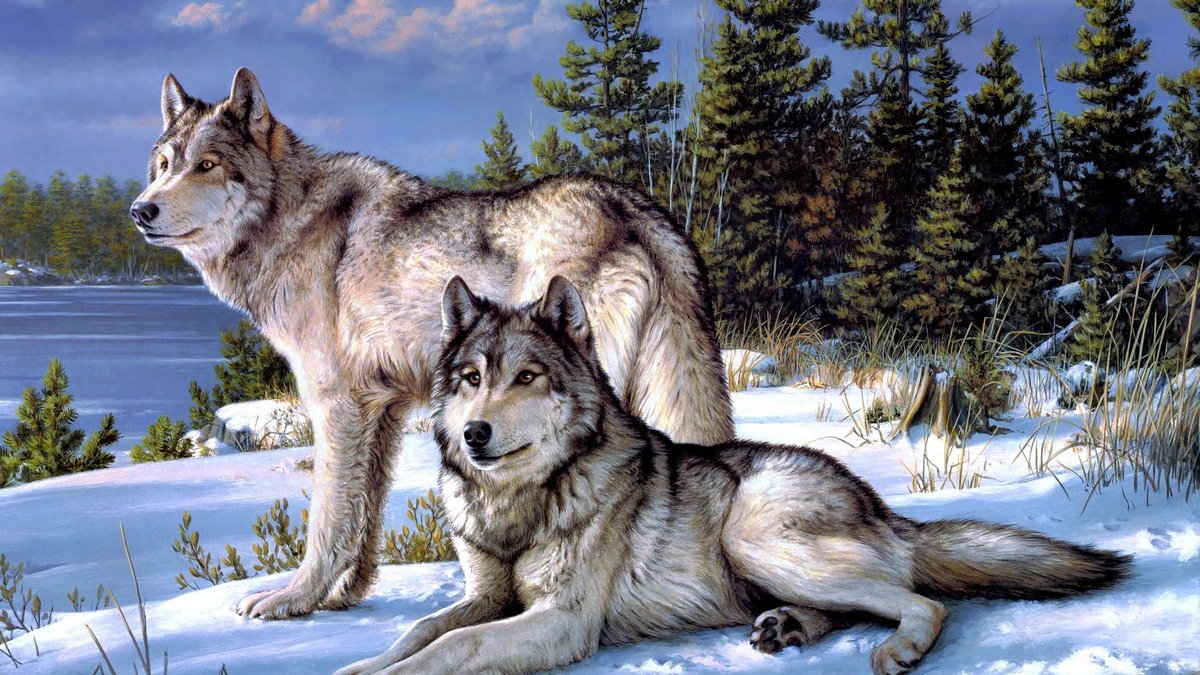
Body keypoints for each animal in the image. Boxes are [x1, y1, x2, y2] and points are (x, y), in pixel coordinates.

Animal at [129, 68, 734, 620]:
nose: (141, 210)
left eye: (207, 166)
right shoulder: (382, 409)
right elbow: (364, 516)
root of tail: (638, 208)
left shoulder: (335, 406)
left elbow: (327, 519)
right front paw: (344, 596)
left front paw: (293, 600)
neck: (289, 220)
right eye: (164, 166)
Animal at [337, 275, 1132, 675]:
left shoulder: (561, 621)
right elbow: (419, 632)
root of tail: (877, 503)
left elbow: (451, 647)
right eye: (471, 379)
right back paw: (786, 627)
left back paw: (896, 648)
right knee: (864, 602)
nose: (474, 434)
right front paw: (357, 666)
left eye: (526, 377)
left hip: (754, 538)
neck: (516, 505)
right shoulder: (486, 597)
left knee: (924, 602)